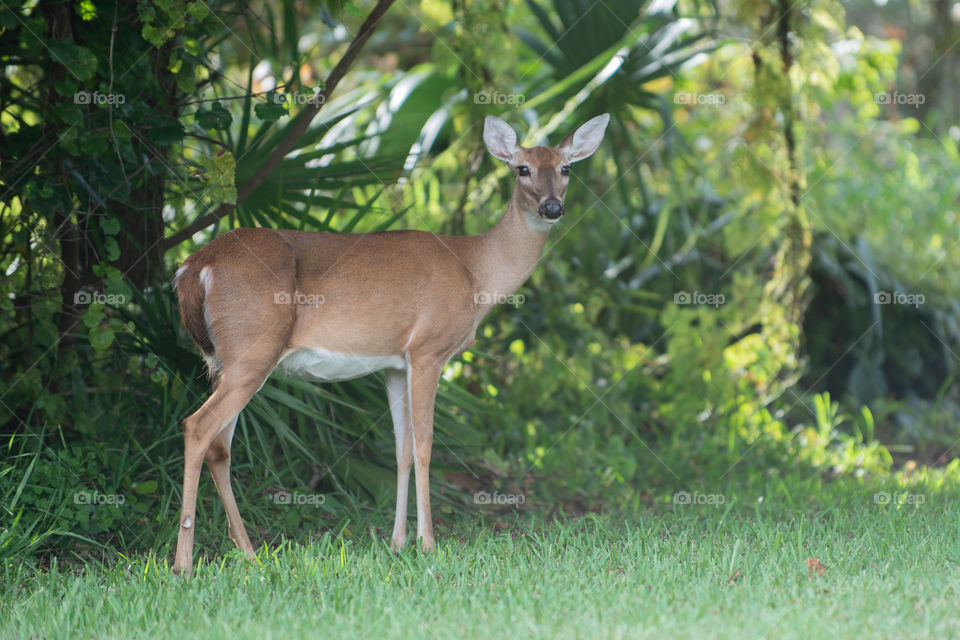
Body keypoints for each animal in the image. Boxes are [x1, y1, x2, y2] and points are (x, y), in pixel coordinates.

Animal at [171, 113, 609, 574]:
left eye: (566, 168)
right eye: (522, 168)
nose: (552, 207)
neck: (476, 272)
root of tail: (194, 267)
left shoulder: (396, 365)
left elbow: (401, 451)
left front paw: (398, 542)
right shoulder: (429, 349)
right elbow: (426, 447)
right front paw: (428, 543)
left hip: (228, 359)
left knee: (220, 447)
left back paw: (250, 553)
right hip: (253, 348)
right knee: (197, 426)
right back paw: (184, 563)